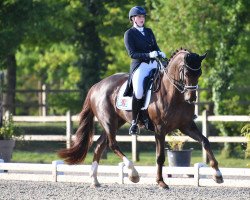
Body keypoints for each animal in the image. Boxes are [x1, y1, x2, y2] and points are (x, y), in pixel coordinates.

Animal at [58, 47, 225, 188]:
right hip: (109, 121)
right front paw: (161, 182)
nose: (191, 98)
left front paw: (217, 175)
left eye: (199, 73)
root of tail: (96, 86)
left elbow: (205, 141)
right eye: (186, 72)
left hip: (116, 122)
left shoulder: (186, 126)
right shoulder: (160, 129)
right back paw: (133, 174)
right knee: (112, 144)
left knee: (100, 145)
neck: (173, 94)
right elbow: (160, 156)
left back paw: (94, 180)